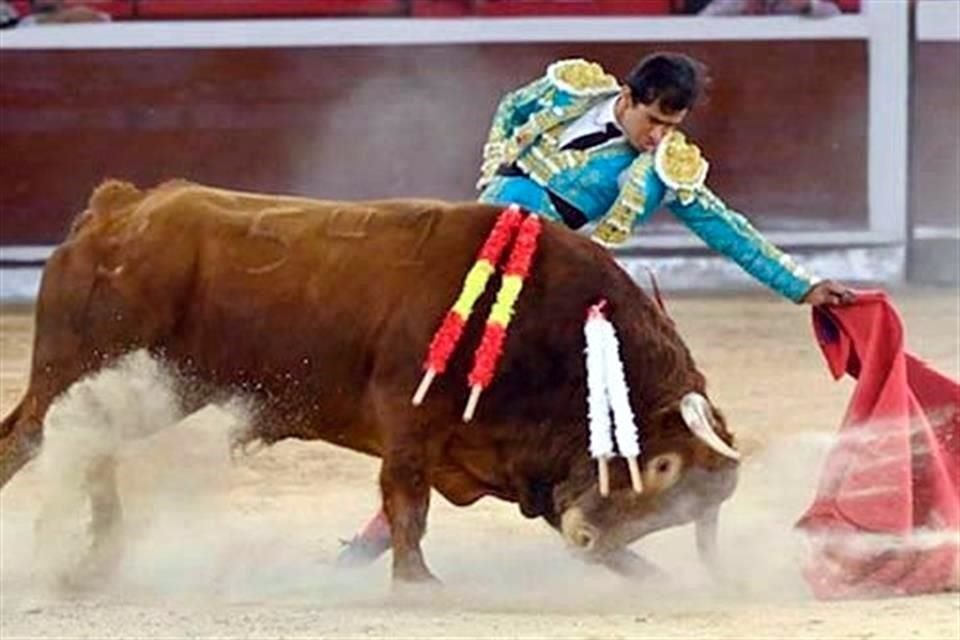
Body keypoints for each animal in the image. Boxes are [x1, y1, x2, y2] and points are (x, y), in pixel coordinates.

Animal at [0, 180, 744, 584]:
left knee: (88, 452)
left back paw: (96, 563)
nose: (586, 541)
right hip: (73, 372)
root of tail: (118, 210)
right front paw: (417, 583)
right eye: (666, 466)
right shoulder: (409, 422)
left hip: (143, 389)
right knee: (26, 439)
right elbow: (407, 503)